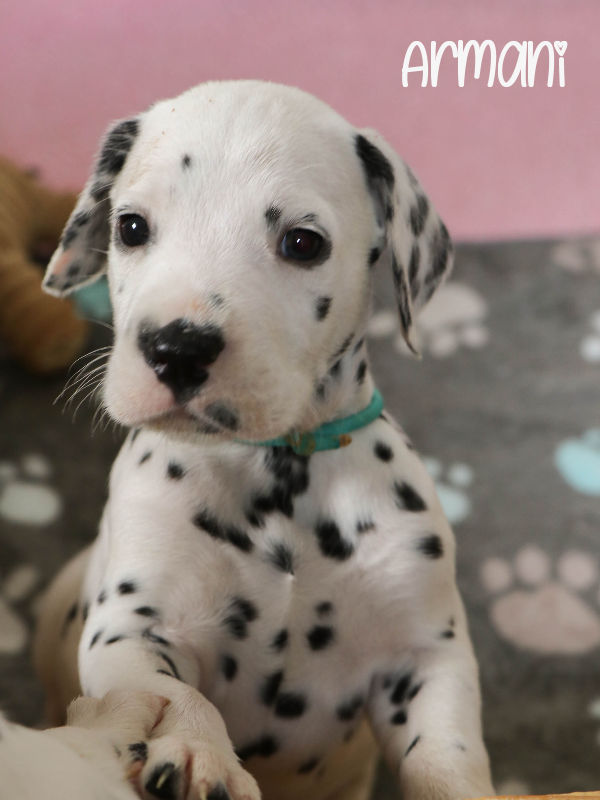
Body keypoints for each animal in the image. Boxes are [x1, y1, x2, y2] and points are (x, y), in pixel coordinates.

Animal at [37, 80, 494, 800]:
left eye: (303, 242)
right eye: (131, 227)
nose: (177, 348)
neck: (281, 477)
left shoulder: (425, 655)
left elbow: (446, 755)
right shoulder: (133, 628)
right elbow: (175, 693)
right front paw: (199, 752)